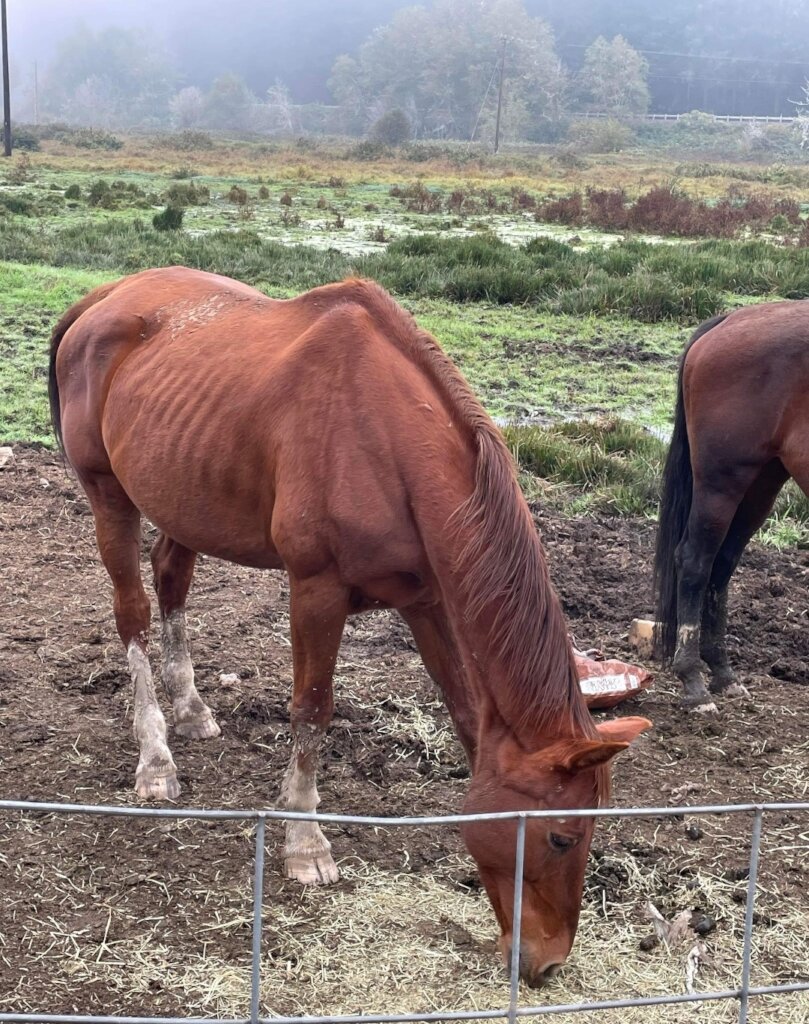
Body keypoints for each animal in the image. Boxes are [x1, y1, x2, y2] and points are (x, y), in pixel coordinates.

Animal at [49, 266, 650, 987]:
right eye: (561, 834)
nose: (548, 962)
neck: (384, 442)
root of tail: (105, 298)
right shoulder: (317, 591)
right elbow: (312, 710)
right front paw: (305, 843)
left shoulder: (427, 603)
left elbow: (465, 716)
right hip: (109, 496)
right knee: (133, 614)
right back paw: (156, 758)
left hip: (183, 496)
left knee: (171, 582)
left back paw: (192, 710)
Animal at [655, 300, 809, 710]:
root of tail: (730, 321)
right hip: (721, 484)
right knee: (695, 562)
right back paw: (693, 681)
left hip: (759, 487)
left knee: (721, 567)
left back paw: (722, 671)